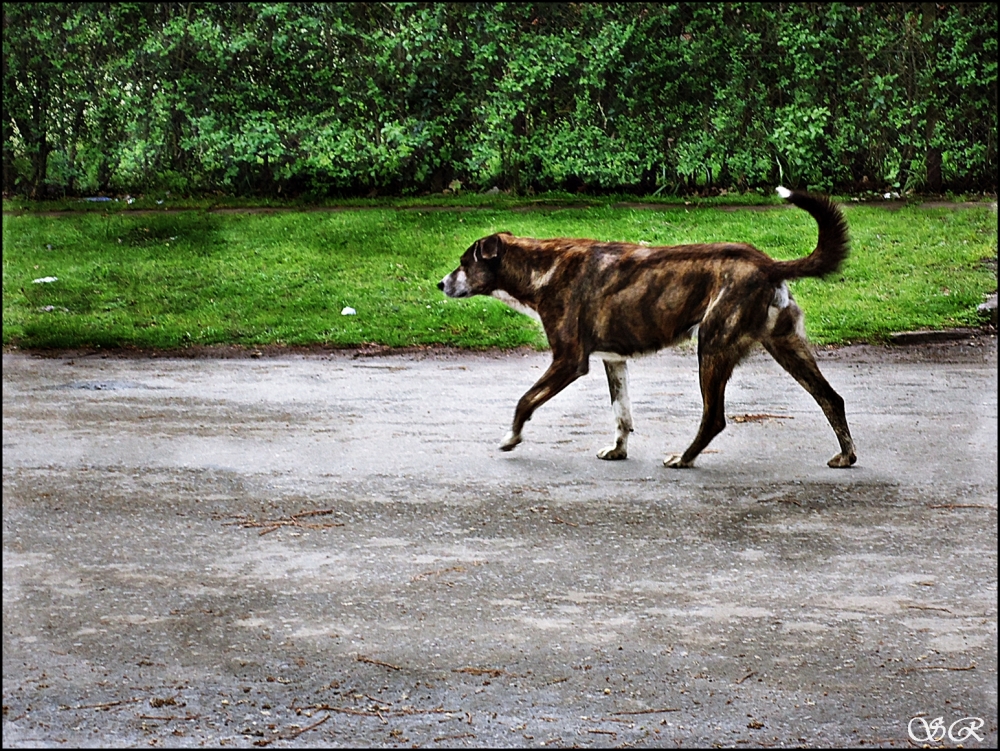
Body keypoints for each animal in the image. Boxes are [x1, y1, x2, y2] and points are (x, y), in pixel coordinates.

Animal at [442, 188, 856, 470]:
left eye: (464, 262)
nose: (440, 283)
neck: (541, 268)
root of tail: (768, 263)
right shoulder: (613, 361)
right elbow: (622, 415)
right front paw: (618, 450)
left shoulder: (568, 361)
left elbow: (525, 400)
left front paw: (511, 438)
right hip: (785, 345)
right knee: (832, 398)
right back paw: (846, 455)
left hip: (713, 348)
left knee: (714, 417)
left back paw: (685, 458)